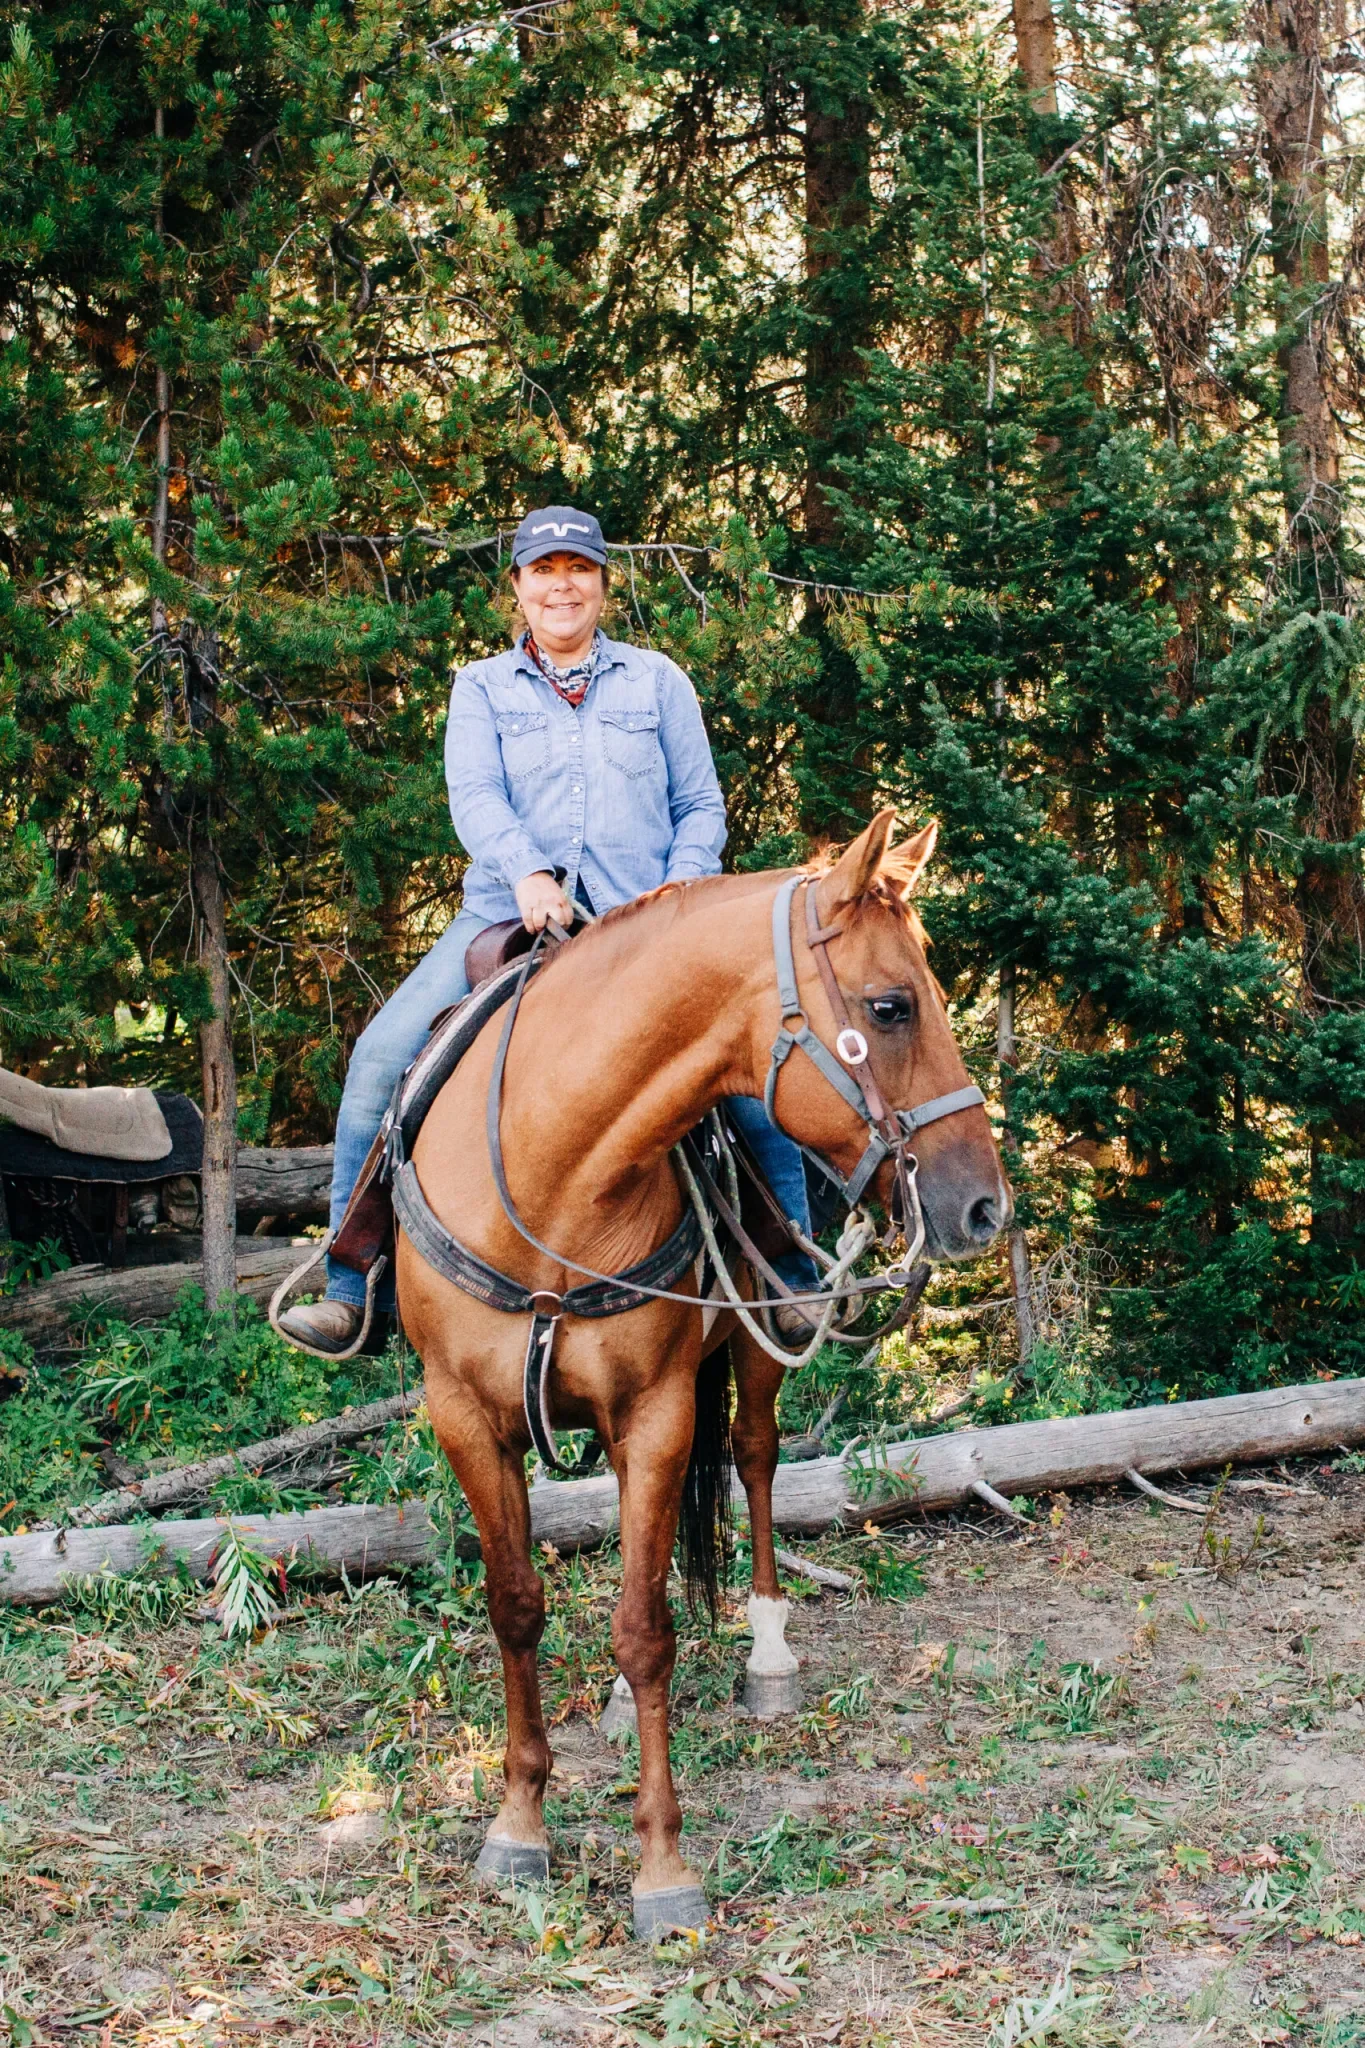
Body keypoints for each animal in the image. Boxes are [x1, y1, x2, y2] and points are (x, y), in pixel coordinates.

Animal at [398, 809, 1010, 1935]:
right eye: (891, 1005)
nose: (983, 1205)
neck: (553, 1171)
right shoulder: (464, 1415)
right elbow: (517, 1606)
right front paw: (518, 1825)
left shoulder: (657, 1412)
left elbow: (647, 1627)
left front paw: (661, 1864)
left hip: (759, 1340)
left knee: (757, 1458)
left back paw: (768, 1653)